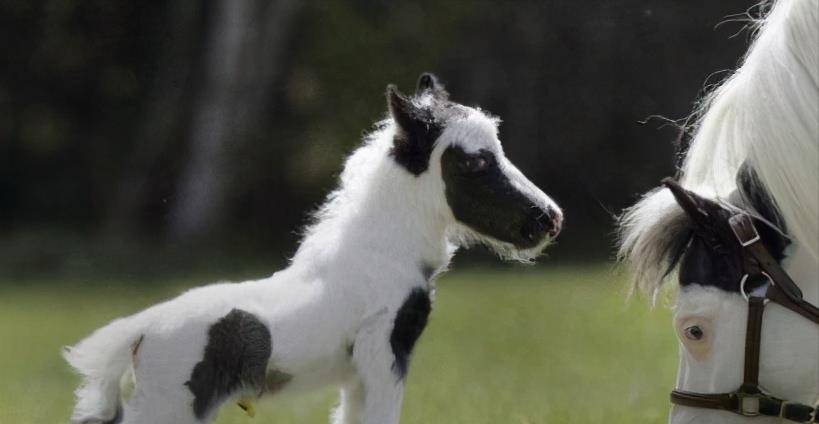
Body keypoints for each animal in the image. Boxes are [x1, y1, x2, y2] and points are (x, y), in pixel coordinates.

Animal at [65, 73, 564, 424]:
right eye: (475, 162)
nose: (549, 219)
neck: (379, 257)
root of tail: (140, 331)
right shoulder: (384, 352)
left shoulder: (358, 374)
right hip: (170, 406)